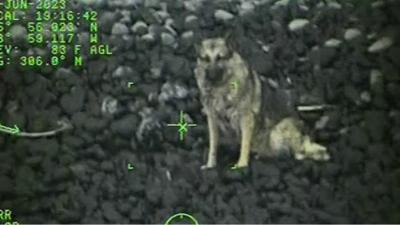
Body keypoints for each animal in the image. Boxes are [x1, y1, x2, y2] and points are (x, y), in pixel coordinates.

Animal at [195, 36, 330, 169]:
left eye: (220, 57)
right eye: (206, 59)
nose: (210, 76)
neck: (220, 87)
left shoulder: (246, 118)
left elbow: (245, 144)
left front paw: (242, 164)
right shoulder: (212, 119)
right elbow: (213, 144)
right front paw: (210, 164)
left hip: (276, 132)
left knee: (297, 154)